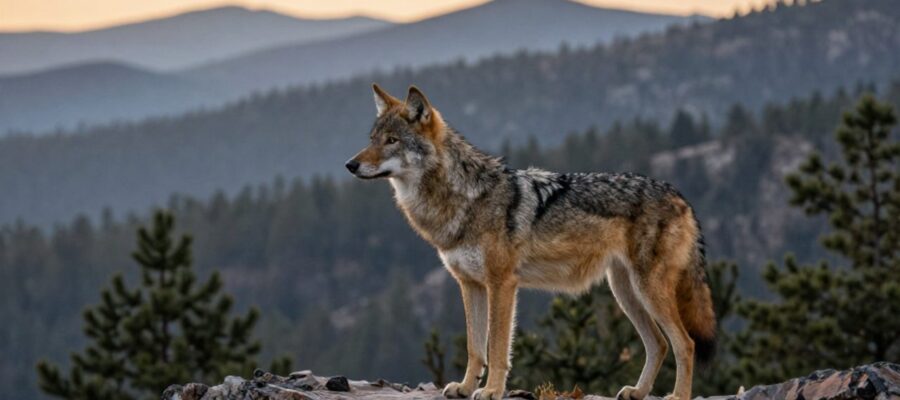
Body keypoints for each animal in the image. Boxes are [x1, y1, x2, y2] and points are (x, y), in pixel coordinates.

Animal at [345, 84, 716, 400]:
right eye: (372, 139)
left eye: (392, 140)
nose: (350, 164)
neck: (464, 198)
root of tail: (680, 195)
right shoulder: (470, 284)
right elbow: (474, 347)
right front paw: (465, 387)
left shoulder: (502, 284)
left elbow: (496, 348)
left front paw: (492, 391)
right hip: (625, 292)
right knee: (659, 344)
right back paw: (637, 392)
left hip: (647, 290)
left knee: (684, 344)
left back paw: (678, 396)